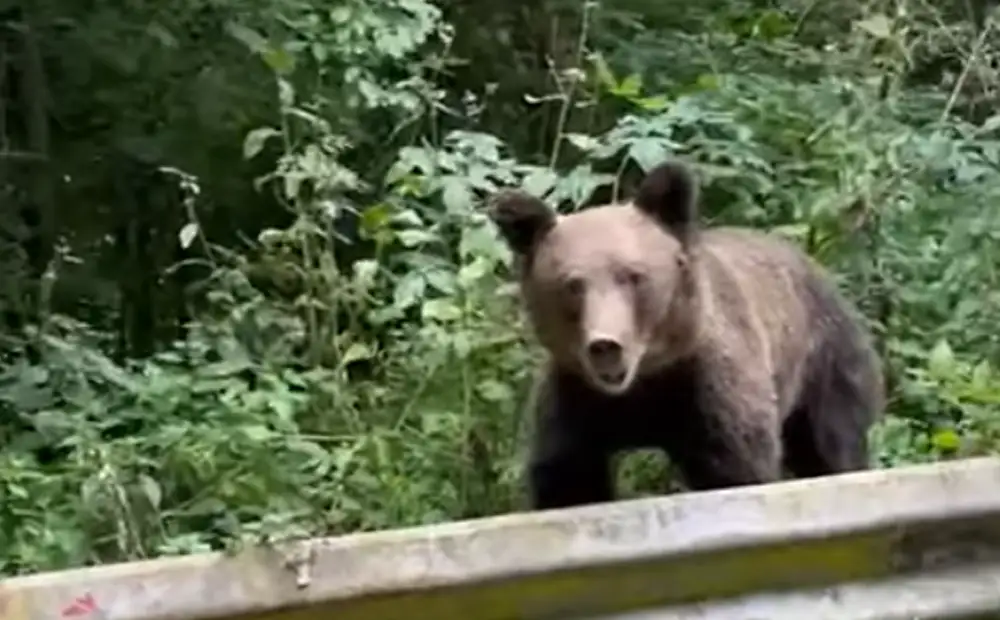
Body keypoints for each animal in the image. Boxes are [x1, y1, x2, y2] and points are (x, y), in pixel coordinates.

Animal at [487, 159, 885, 511]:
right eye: (572, 284)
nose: (605, 346)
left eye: (632, 276)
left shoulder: (707, 388)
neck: (644, 384)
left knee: (831, 445)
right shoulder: (575, 400)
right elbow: (568, 480)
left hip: (825, 361)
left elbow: (736, 467)